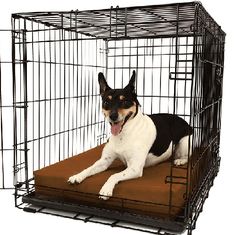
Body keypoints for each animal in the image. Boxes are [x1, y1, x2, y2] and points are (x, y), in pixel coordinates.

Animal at [67, 71, 193, 200]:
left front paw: (106, 189)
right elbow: (89, 168)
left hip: (184, 143)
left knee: (186, 156)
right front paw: (77, 176)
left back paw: (180, 161)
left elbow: (113, 175)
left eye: (125, 102)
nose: (113, 116)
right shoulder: (104, 161)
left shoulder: (135, 168)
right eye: (106, 102)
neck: (124, 133)